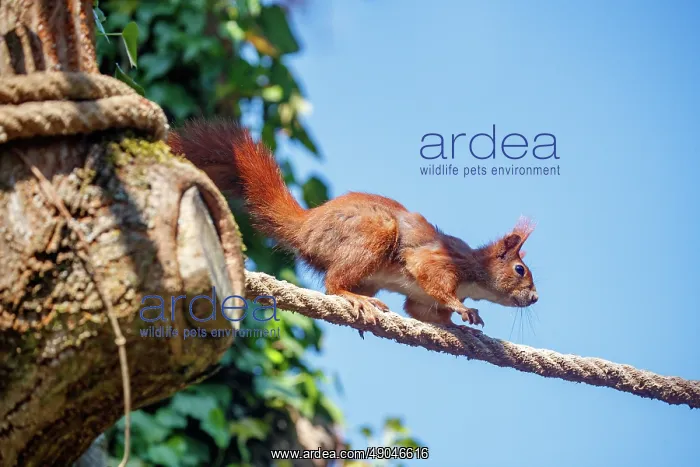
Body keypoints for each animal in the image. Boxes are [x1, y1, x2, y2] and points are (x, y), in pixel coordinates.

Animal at [168, 119, 539, 331]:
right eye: (520, 269)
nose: (535, 298)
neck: (475, 274)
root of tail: (306, 225)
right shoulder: (442, 261)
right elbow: (433, 279)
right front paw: (463, 309)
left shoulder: (420, 300)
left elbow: (421, 310)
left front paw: (457, 325)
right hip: (374, 234)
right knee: (333, 285)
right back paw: (356, 300)